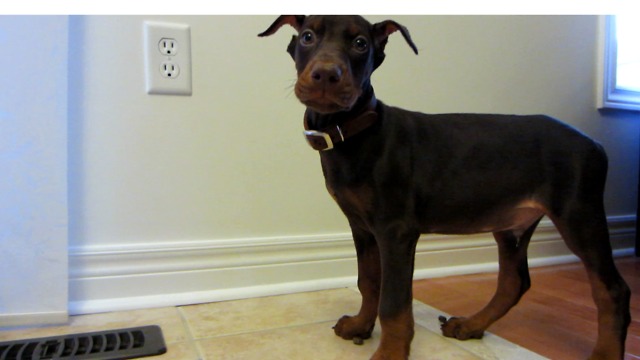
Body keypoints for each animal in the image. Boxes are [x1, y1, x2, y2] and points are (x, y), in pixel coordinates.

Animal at [258, 16, 632, 360]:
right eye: (308, 36)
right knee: (514, 282)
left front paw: (390, 352)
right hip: (511, 223)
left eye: (361, 43)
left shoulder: (396, 231)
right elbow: (369, 282)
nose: (326, 75)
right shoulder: (362, 227)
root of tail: (594, 144)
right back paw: (471, 325)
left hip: (579, 214)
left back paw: (604, 353)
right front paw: (361, 326)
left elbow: (394, 302)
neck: (355, 132)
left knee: (613, 290)